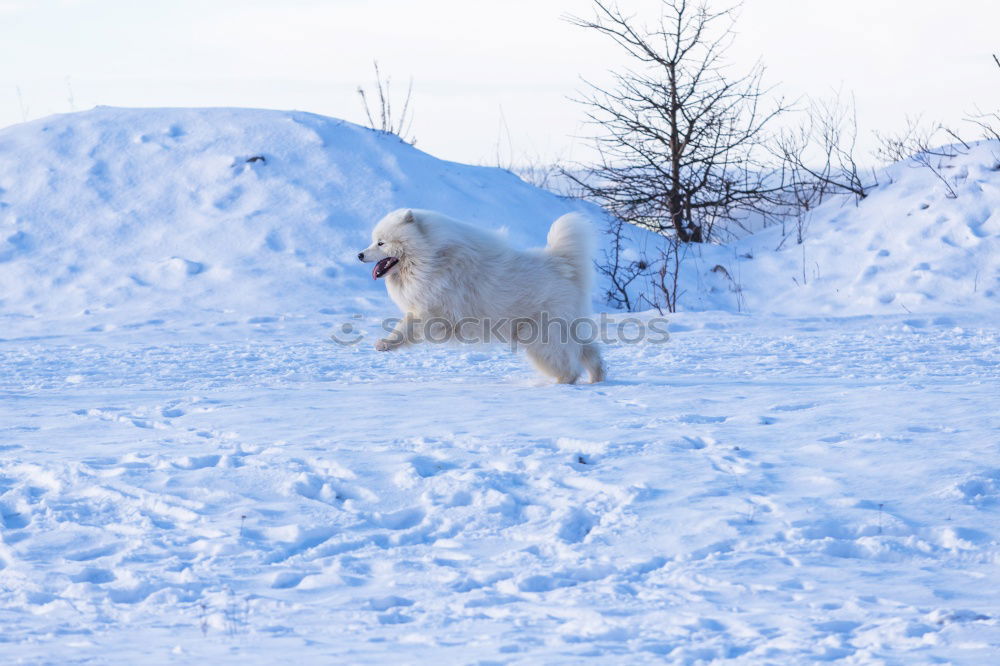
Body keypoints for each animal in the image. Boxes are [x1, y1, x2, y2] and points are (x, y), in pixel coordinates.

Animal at [362, 208, 608, 384]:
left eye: (381, 242)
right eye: (374, 241)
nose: (360, 254)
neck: (431, 258)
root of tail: (562, 263)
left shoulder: (437, 313)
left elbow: (409, 326)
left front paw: (385, 343)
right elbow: (403, 328)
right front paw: (385, 344)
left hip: (540, 335)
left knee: (568, 363)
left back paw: (562, 383)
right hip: (569, 327)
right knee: (590, 352)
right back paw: (597, 379)